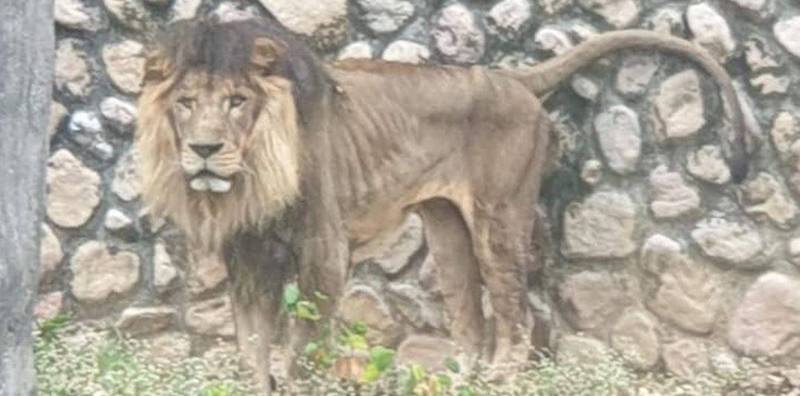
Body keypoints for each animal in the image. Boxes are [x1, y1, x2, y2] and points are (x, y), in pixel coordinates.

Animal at [138, 15, 752, 392]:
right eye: (186, 103)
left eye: (237, 101)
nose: (203, 150)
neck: (253, 176)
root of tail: (511, 78)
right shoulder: (246, 256)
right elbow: (250, 345)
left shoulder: (323, 250)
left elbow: (304, 344)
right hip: (447, 231)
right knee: (471, 324)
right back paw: (454, 382)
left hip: (498, 220)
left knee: (517, 315)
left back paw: (502, 378)